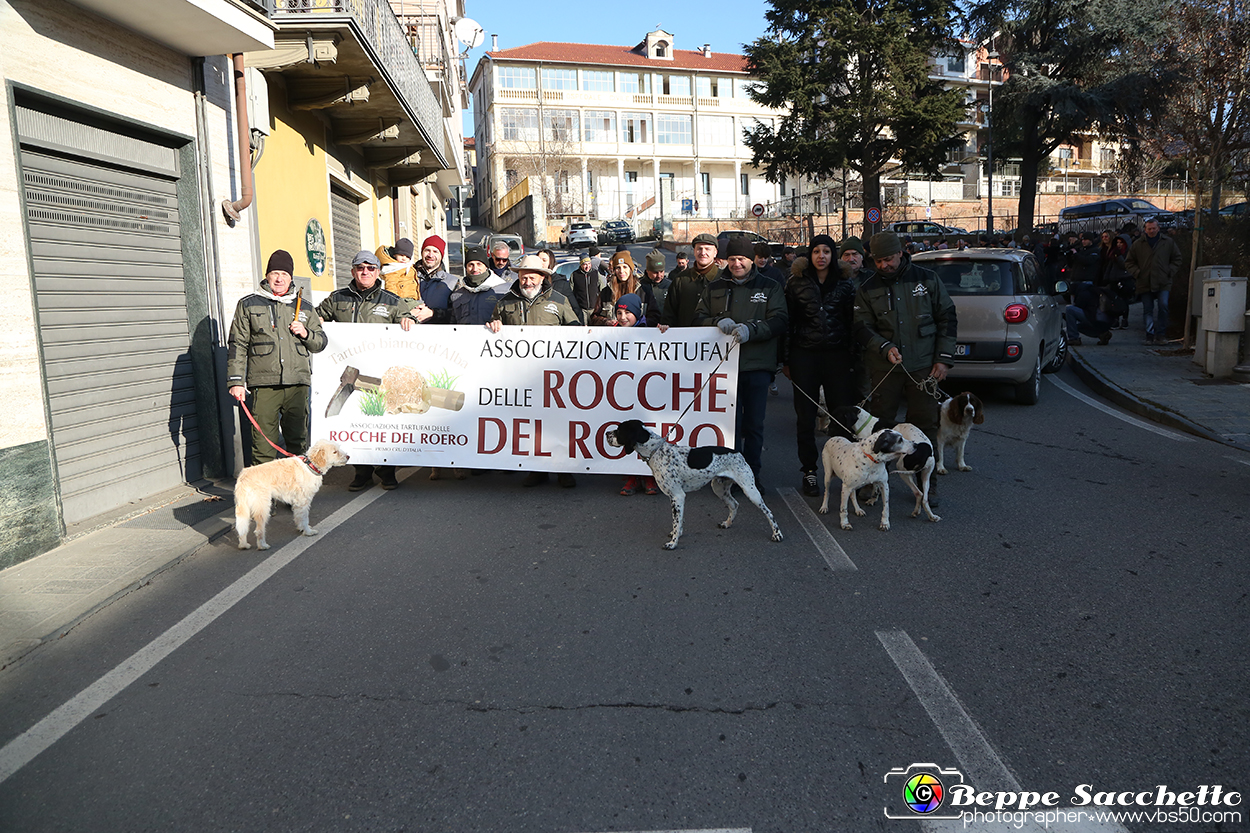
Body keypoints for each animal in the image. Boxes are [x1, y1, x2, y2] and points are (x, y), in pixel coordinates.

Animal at [605, 417, 780, 547]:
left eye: (619, 429)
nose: (606, 433)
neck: (657, 451)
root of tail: (738, 452)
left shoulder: (677, 496)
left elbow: (676, 522)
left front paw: (673, 543)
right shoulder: (677, 497)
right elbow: (679, 521)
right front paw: (677, 535)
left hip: (750, 490)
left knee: (769, 512)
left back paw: (777, 534)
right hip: (719, 488)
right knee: (734, 504)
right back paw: (727, 523)